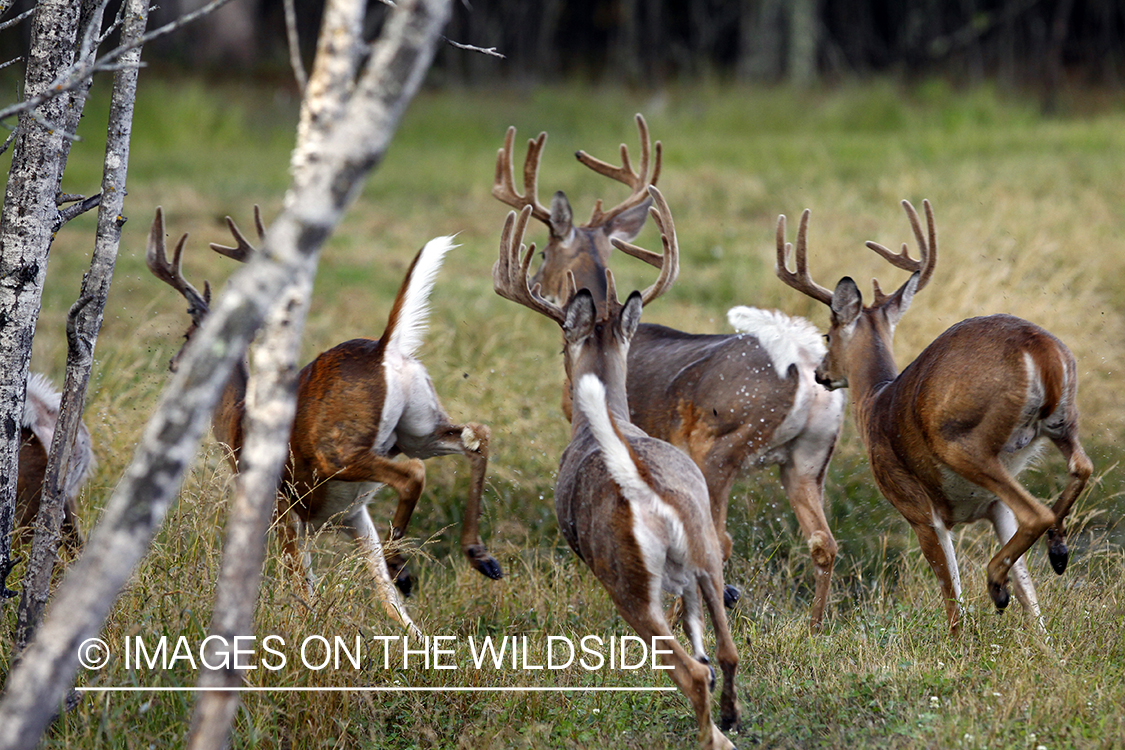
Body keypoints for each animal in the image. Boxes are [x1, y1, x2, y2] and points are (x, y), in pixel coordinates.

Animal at [147, 208, 499, 638]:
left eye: (188, 334)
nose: (173, 363)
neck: (237, 419)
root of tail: (384, 348)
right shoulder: (351, 514)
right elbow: (383, 595)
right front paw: (416, 637)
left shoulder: (278, 505)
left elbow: (304, 586)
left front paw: (304, 634)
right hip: (419, 430)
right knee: (476, 436)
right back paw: (479, 557)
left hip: (339, 452)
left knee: (413, 473)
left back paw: (403, 566)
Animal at [492, 114, 846, 629]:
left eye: (542, 255)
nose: (537, 283)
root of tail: (806, 370)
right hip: (809, 456)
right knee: (823, 541)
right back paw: (816, 626)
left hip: (723, 445)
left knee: (717, 542)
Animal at [497, 201, 742, 750]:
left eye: (562, 344)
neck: (603, 421)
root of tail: (645, 486)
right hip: (706, 551)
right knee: (726, 652)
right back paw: (732, 717)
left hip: (624, 577)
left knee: (692, 671)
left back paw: (714, 737)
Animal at [778, 199, 1093, 634]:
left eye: (827, 334)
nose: (821, 373)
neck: (874, 401)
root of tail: (1038, 348)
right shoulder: (991, 506)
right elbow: (1029, 596)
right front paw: (1041, 641)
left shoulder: (915, 507)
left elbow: (952, 599)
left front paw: (961, 638)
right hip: (1062, 419)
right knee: (1081, 466)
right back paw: (1056, 552)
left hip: (962, 440)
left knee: (1036, 511)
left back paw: (997, 581)